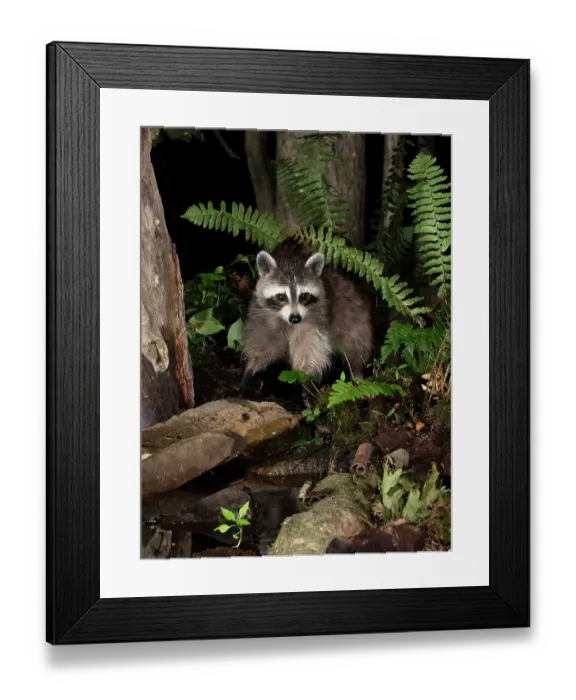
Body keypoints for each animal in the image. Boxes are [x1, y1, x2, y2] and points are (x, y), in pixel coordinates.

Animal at [239, 241, 373, 394]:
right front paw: (252, 366)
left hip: (352, 313)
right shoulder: (262, 314)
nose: (295, 318)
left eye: (303, 296)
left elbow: (310, 348)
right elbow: (263, 341)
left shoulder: (317, 316)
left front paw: (307, 378)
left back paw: (356, 370)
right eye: (281, 297)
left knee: (354, 344)